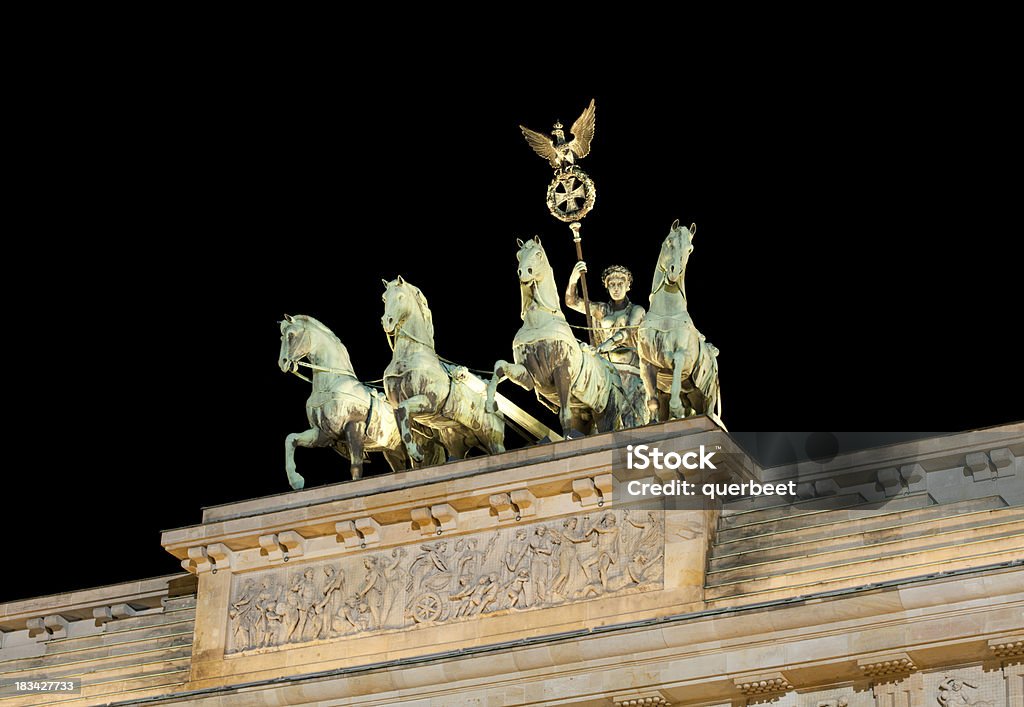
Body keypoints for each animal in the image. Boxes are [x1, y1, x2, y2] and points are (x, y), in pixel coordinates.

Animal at [380, 274, 503, 463]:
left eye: (400, 297)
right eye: (384, 298)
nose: (387, 321)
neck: (411, 355)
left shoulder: (429, 401)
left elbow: (404, 408)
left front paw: (416, 452)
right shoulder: (396, 408)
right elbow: (402, 420)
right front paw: (415, 452)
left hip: (494, 442)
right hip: (456, 443)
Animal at [483, 236, 643, 434]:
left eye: (538, 254)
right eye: (518, 255)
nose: (524, 272)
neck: (538, 323)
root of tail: (616, 378)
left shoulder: (562, 370)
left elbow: (564, 413)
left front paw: (568, 437)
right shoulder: (530, 375)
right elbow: (500, 366)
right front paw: (490, 404)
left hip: (607, 412)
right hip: (584, 414)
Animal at [634, 217, 724, 422]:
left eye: (690, 249)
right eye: (669, 242)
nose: (674, 272)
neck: (666, 313)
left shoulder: (682, 357)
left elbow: (677, 370)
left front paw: (677, 410)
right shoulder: (646, 363)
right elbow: (653, 401)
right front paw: (653, 421)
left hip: (707, 396)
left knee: (706, 410)